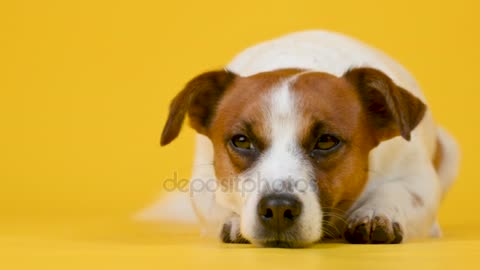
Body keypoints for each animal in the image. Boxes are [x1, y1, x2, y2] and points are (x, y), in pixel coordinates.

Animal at [145, 31, 458, 247]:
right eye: (241, 141)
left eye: (327, 141)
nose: (278, 208)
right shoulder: (203, 185)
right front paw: (234, 220)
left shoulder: (418, 178)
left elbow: (400, 191)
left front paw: (375, 211)